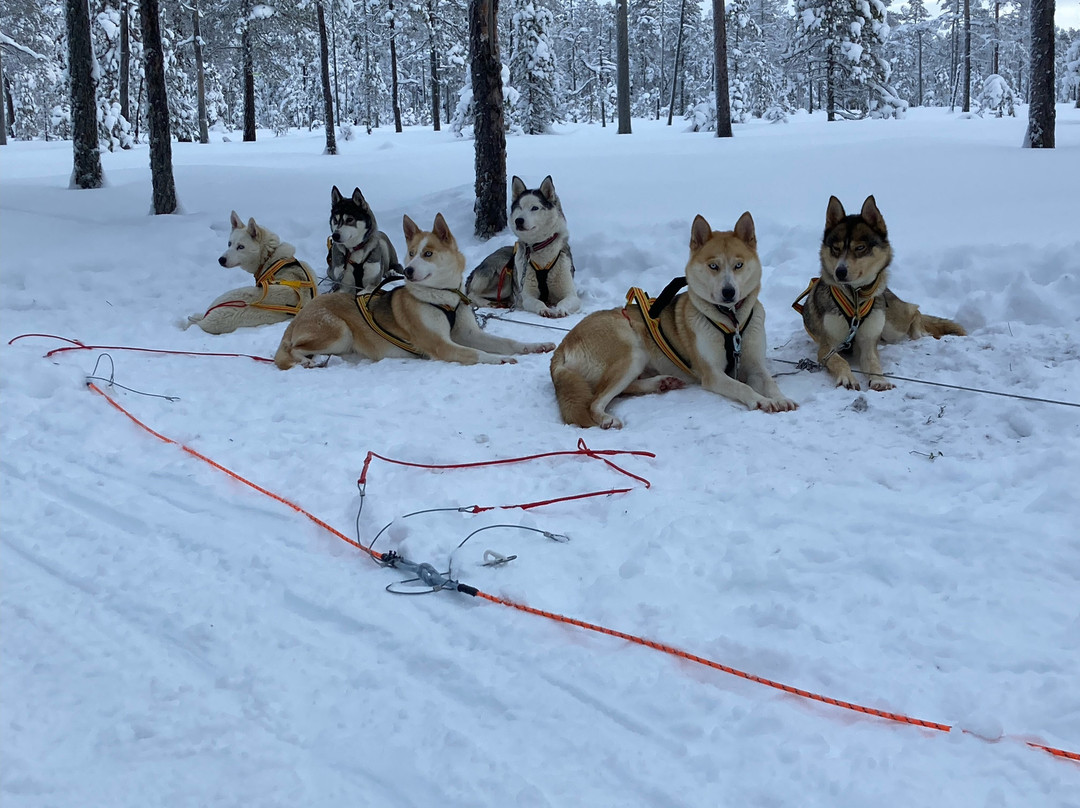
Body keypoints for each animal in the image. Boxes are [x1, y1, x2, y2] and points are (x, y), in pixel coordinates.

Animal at [274, 211, 552, 369]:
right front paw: (498, 359)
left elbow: (507, 342)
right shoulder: (442, 345)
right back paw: (307, 361)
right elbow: (475, 353)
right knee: (292, 351)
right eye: (411, 252)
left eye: (427, 253)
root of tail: (300, 315)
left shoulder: (469, 333)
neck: (443, 297)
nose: (407, 271)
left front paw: (535, 346)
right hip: (339, 332)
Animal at [466, 177, 583, 319]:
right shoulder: (527, 296)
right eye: (520, 208)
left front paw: (560, 309)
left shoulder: (571, 294)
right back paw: (489, 303)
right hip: (504, 279)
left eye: (534, 208)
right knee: (471, 294)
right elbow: (537, 302)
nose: (518, 220)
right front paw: (544, 309)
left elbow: (565, 301)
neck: (539, 247)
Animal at [552, 212, 799, 429]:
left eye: (738, 265)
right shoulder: (713, 374)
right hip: (631, 351)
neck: (731, 321)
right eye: (713, 266)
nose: (728, 292)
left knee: (624, 388)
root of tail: (562, 346)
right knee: (595, 401)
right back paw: (606, 418)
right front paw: (762, 400)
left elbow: (770, 382)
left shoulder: (755, 365)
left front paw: (779, 398)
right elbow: (742, 387)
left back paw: (660, 383)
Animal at [799, 195, 967, 391]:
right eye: (836, 248)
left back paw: (918, 333)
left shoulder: (868, 342)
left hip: (893, 326)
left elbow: (873, 362)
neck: (855, 299)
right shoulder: (828, 346)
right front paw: (847, 377)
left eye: (860, 248)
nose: (839, 272)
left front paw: (880, 380)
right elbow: (840, 361)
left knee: (915, 310)